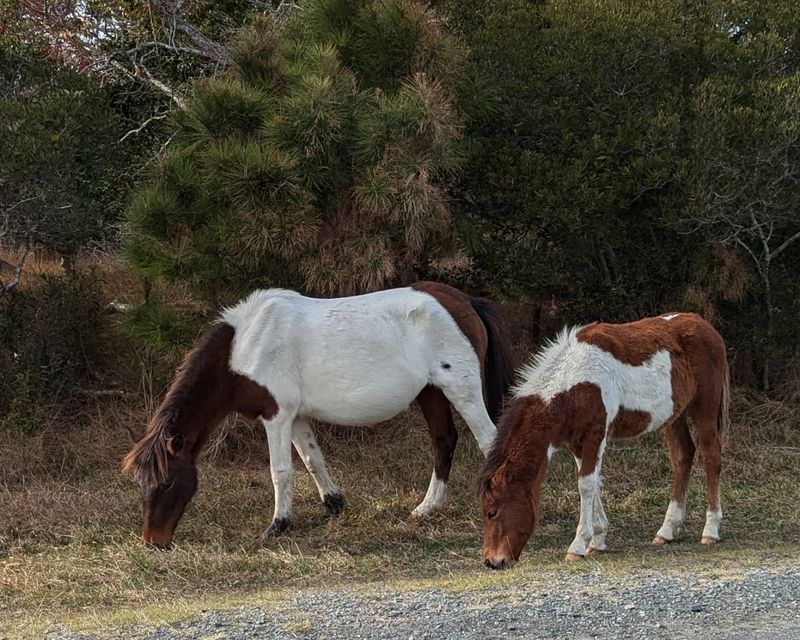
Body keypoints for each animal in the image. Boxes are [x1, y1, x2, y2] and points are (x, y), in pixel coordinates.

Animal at [123, 282, 513, 548]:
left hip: (461, 390)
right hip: (430, 393)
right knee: (443, 442)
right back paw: (427, 508)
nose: (152, 541)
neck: (245, 346)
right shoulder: (296, 418)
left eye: (167, 482)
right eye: (141, 484)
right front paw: (334, 504)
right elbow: (313, 460)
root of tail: (463, 301)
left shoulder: (276, 416)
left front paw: (278, 525)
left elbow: (281, 471)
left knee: (487, 441)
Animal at [478, 312, 729, 568]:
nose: (492, 561)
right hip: (673, 416)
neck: (573, 383)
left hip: (704, 408)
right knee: (682, 457)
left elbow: (586, 485)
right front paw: (597, 540)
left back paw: (710, 530)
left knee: (711, 458)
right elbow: (593, 482)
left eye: (492, 512)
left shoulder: (594, 436)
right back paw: (667, 530)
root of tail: (705, 326)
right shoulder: (577, 444)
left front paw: (578, 544)